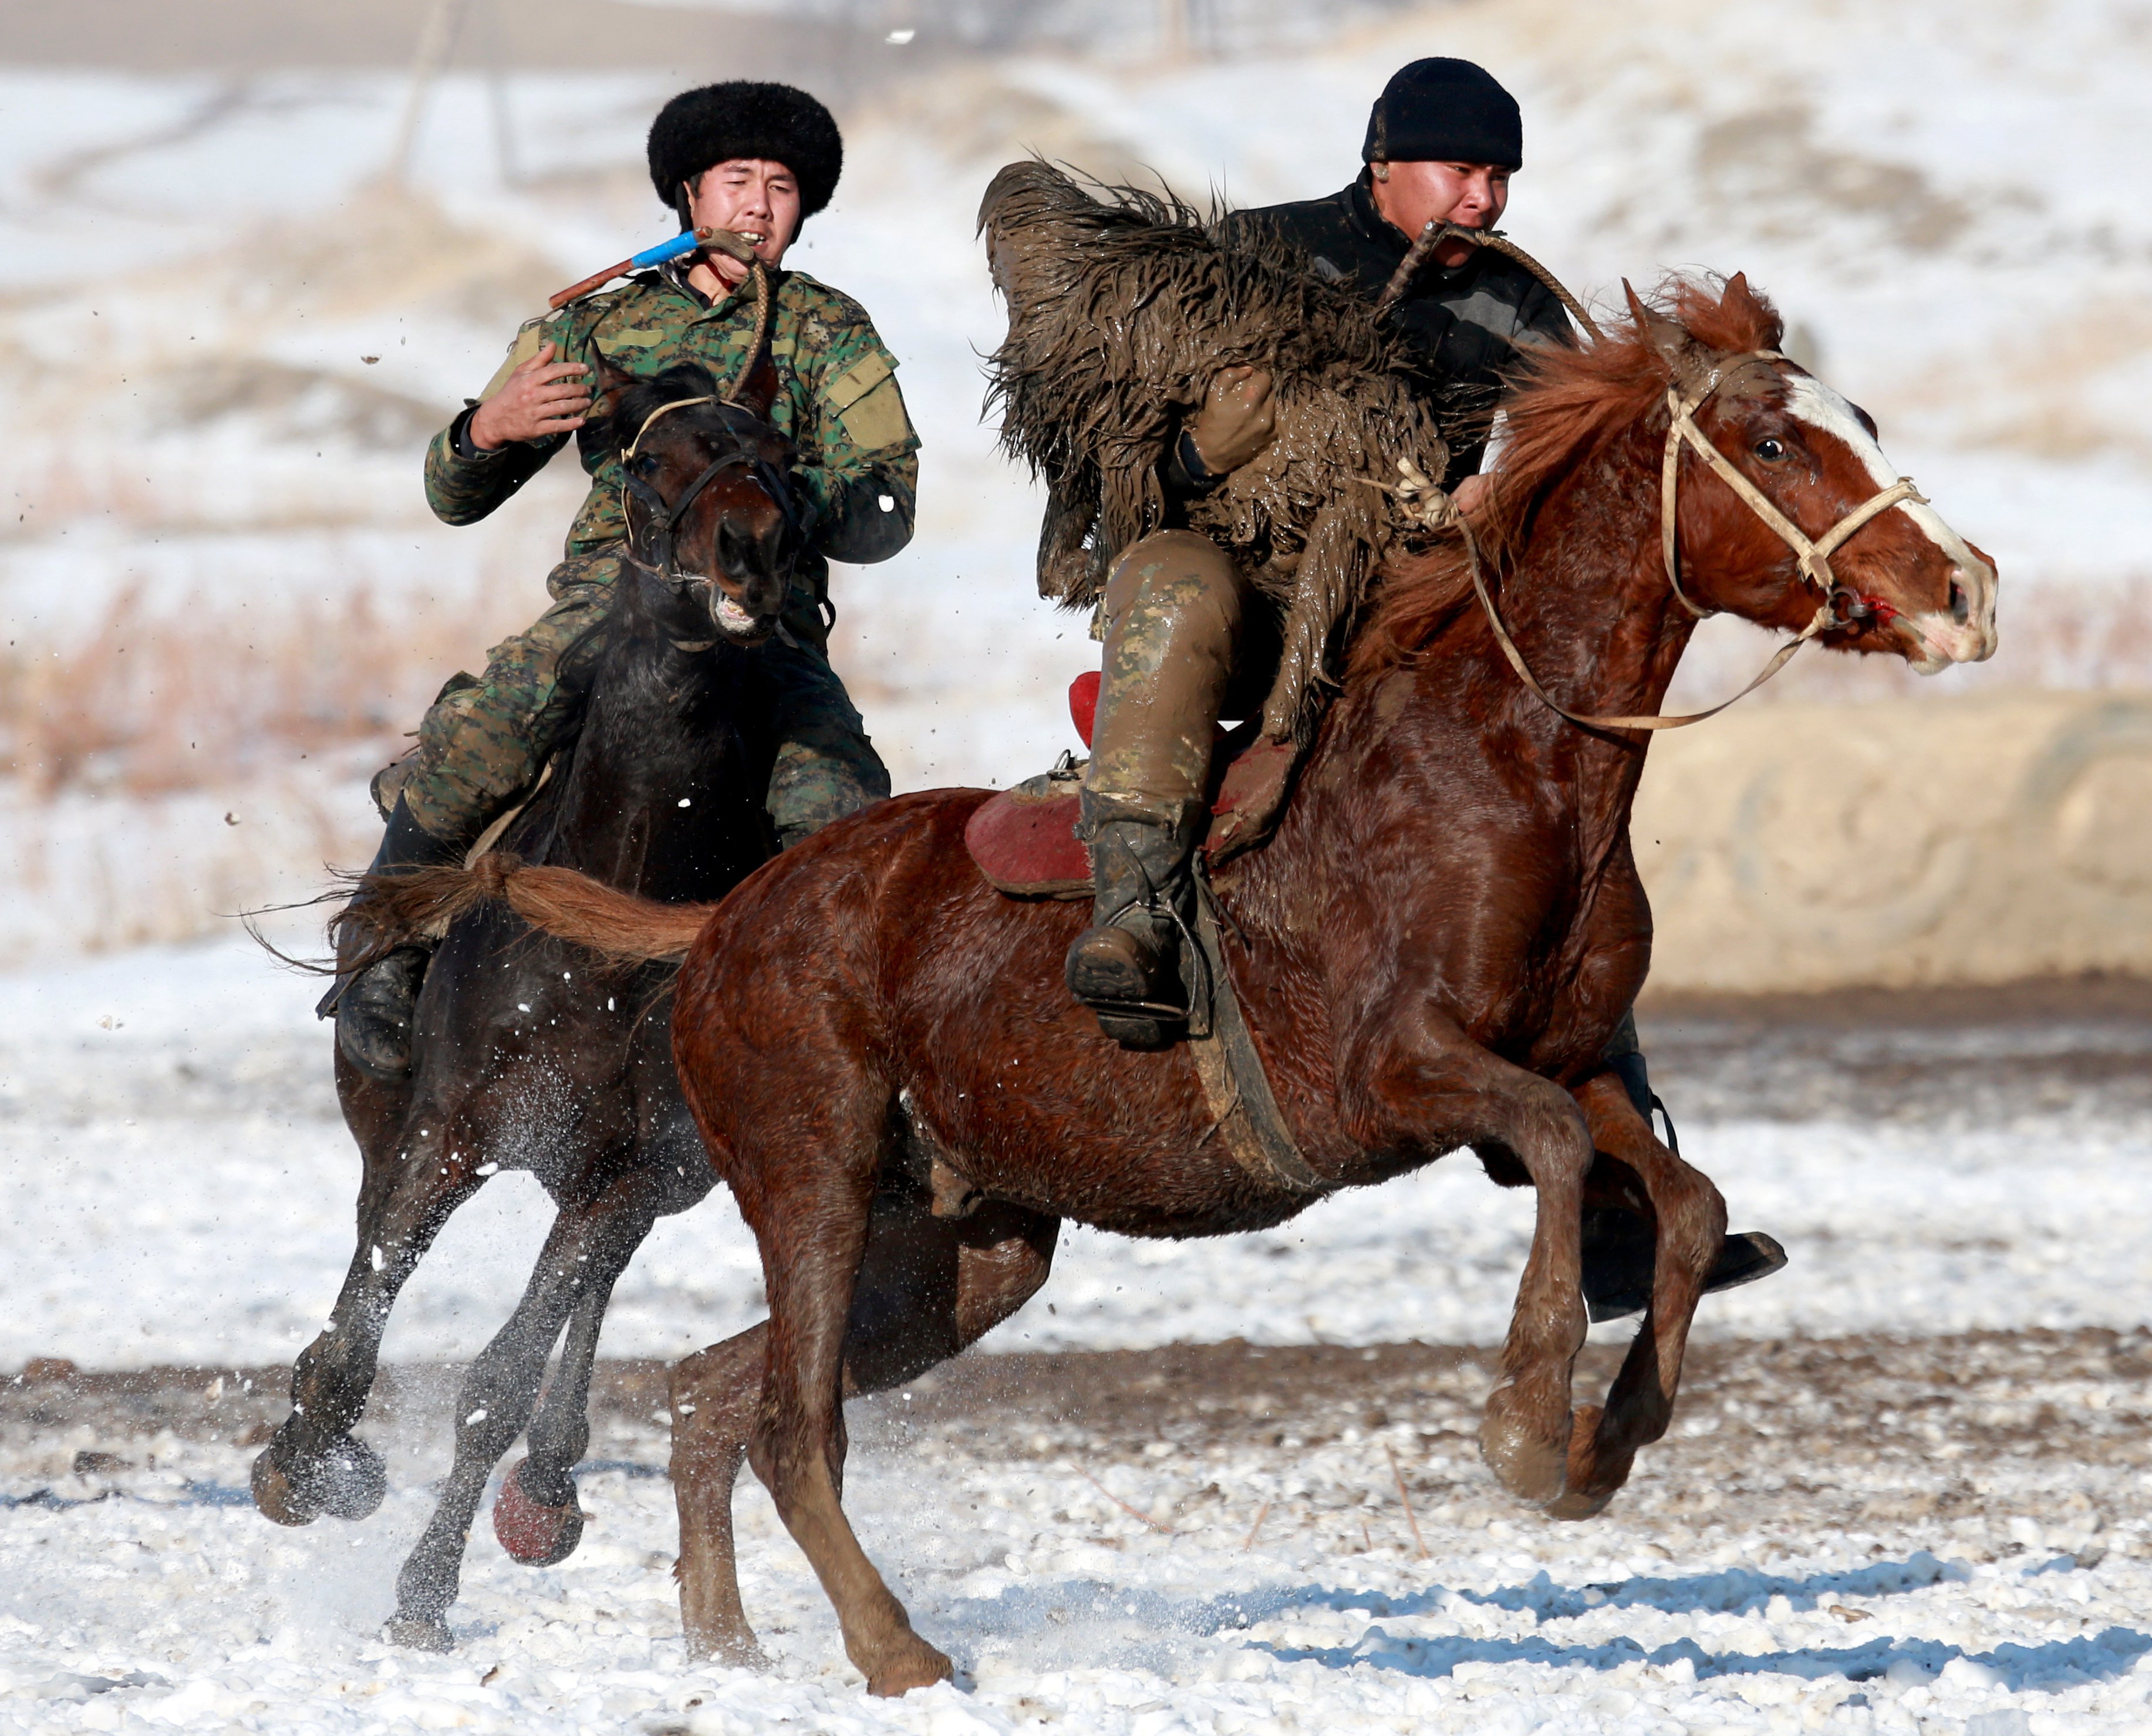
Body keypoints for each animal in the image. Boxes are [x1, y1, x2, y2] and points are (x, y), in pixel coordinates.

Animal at [406, 275, 1997, 1695]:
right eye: (1778, 442)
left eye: (1853, 418)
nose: (1964, 590)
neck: (1499, 766)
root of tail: (727, 917)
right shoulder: (1394, 1075)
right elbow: (1550, 1149)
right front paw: (1522, 1423)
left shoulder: (1577, 1061)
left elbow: (1684, 1201)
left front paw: (1607, 1437)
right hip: (812, 1178)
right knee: (793, 1424)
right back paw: (894, 1650)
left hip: (962, 1244)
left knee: (711, 1392)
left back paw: (729, 1644)